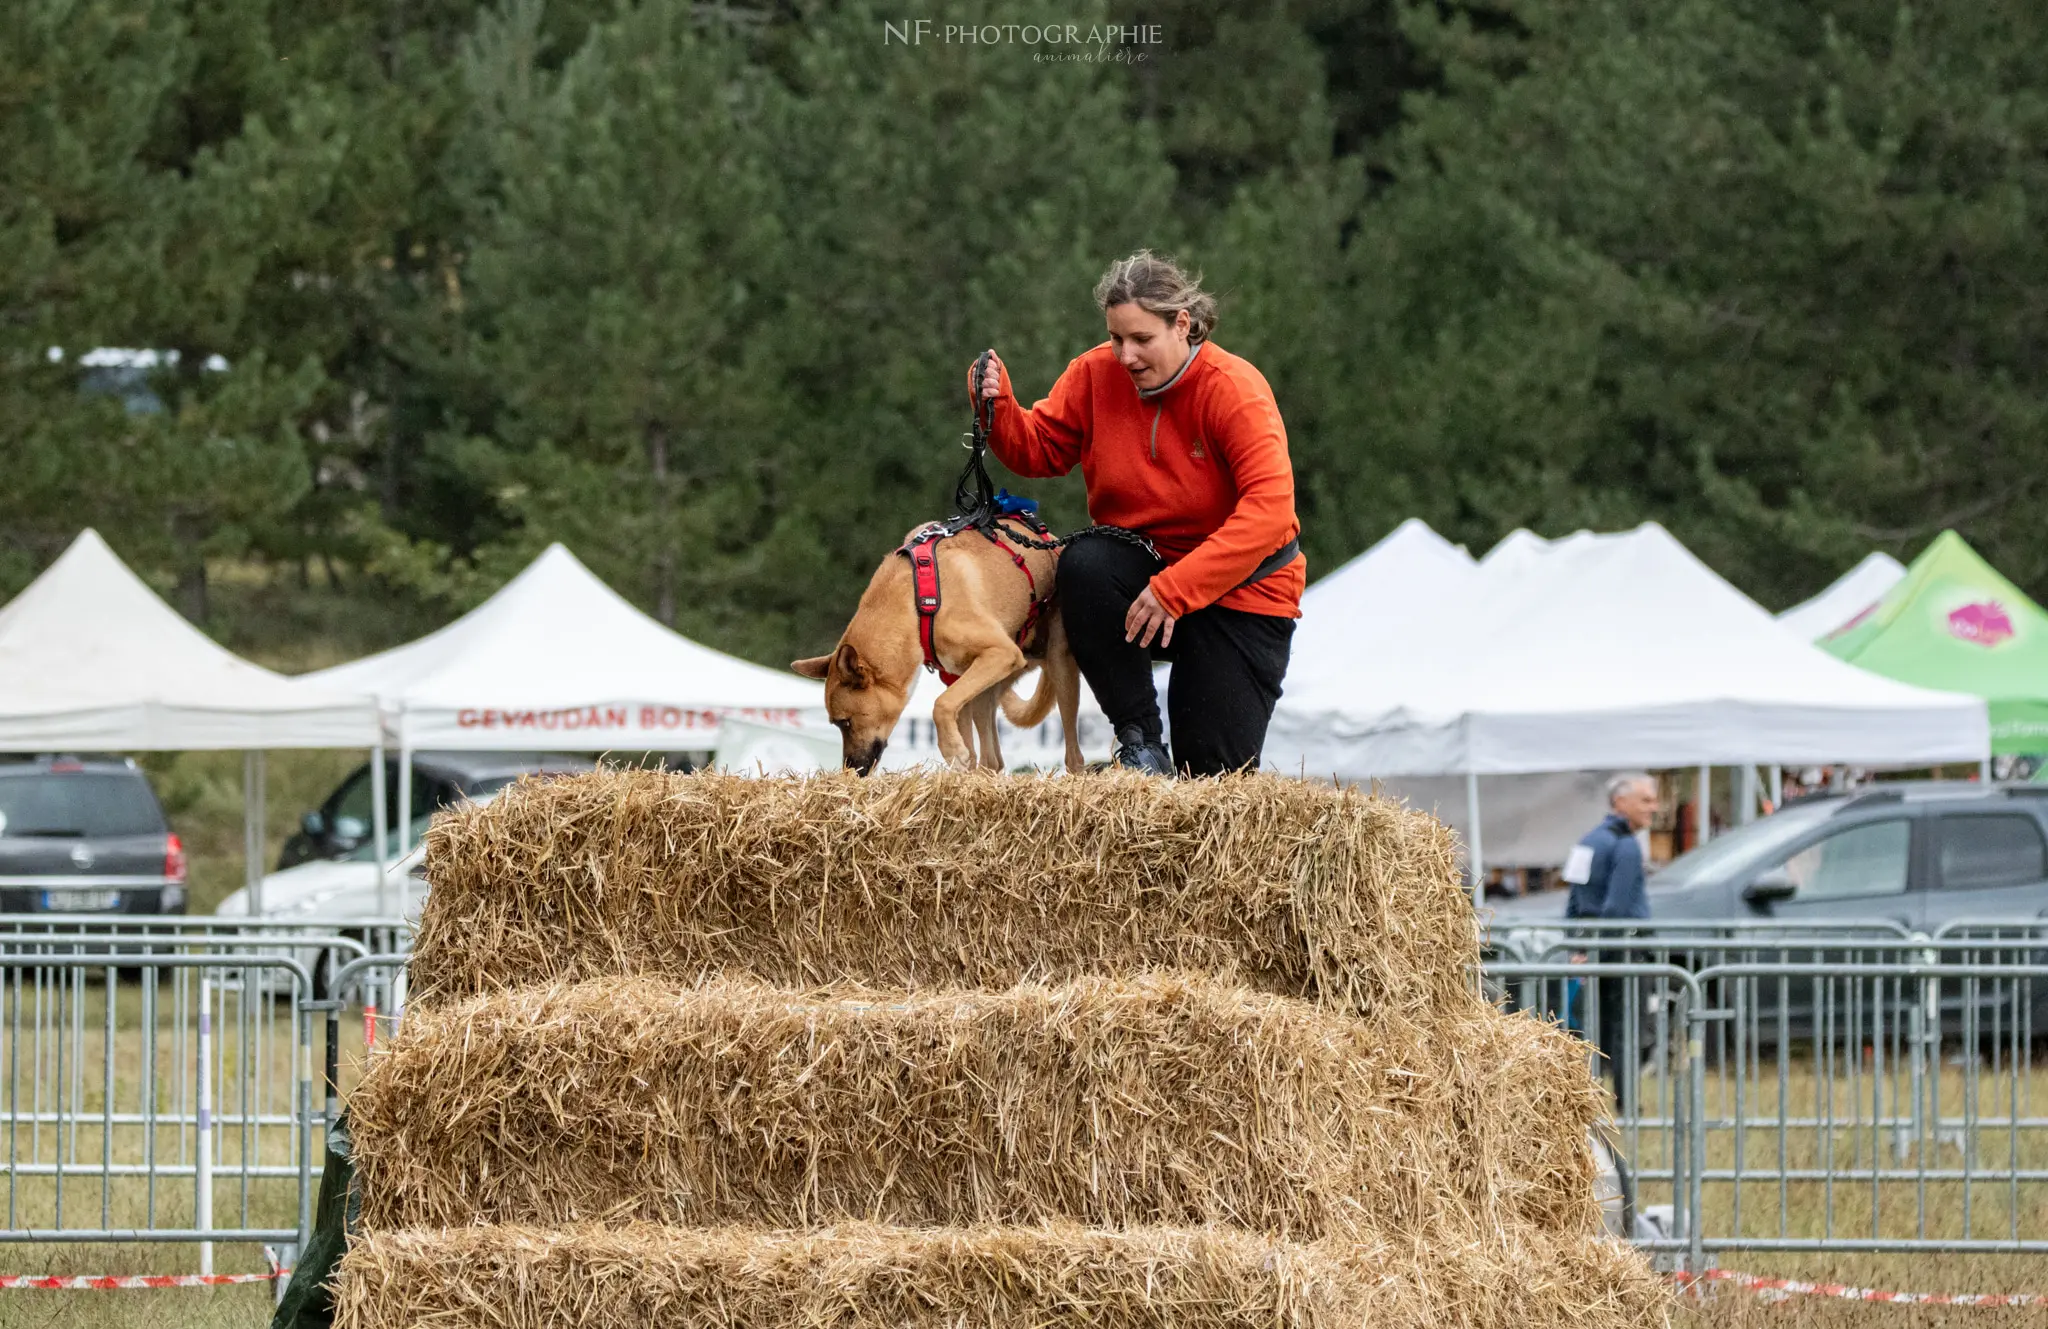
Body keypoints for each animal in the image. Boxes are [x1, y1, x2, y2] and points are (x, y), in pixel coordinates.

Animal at [794, 516, 1089, 765]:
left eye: (844, 723)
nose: (853, 770)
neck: (915, 606)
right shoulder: (958, 677)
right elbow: (960, 728)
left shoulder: (1001, 653)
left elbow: (941, 704)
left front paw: (952, 750)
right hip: (985, 690)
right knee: (992, 760)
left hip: (1059, 667)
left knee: (1073, 756)